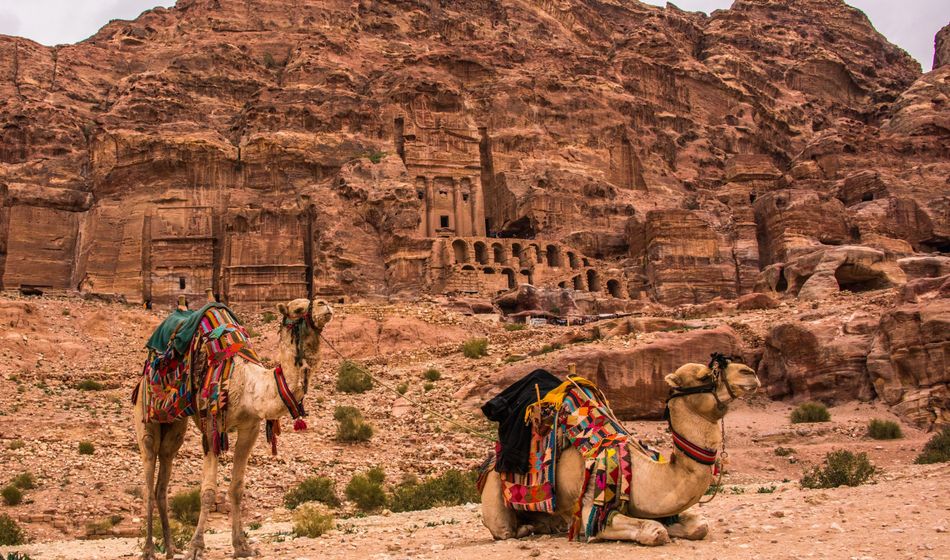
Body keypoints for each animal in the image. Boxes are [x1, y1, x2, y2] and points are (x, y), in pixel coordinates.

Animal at [133, 298, 333, 560]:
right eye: (299, 308)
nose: (325, 304)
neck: (250, 385)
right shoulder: (212, 427)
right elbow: (208, 492)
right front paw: (196, 547)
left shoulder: (250, 429)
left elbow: (237, 488)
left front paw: (242, 546)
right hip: (145, 412)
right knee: (148, 472)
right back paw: (148, 550)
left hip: (175, 424)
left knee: (163, 471)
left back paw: (169, 548)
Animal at [481, 358, 761, 545]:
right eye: (704, 376)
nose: (750, 373)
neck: (642, 472)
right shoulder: (592, 504)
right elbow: (654, 530)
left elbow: (699, 525)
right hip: (496, 497)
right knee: (504, 529)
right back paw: (526, 529)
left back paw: (548, 526)